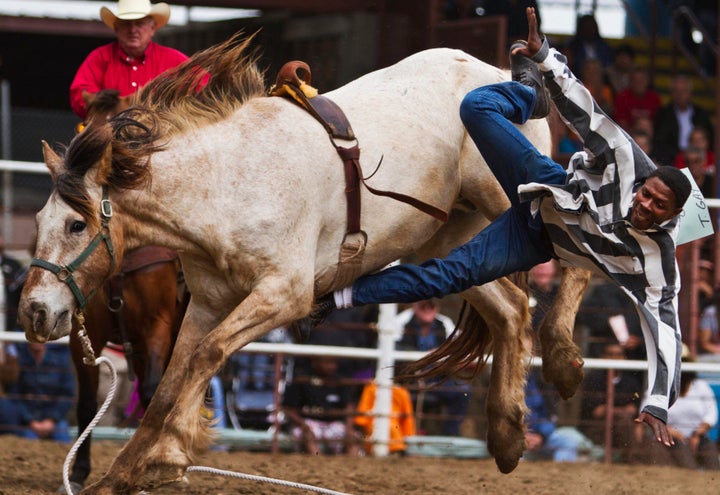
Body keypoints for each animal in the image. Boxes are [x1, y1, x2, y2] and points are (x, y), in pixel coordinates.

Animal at [19, 34, 588, 492]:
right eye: (38, 220)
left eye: (76, 225)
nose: (32, 311)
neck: (225, 185)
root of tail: (498, 74)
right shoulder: (207, 303)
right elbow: (171, 381)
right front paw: (120, 476)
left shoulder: (284, 293)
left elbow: (208, 356)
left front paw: (166, 459)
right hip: (447, 239)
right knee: (511, 309)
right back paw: (508, 436)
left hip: (509, 190)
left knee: (574, 250)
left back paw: (563, 362)